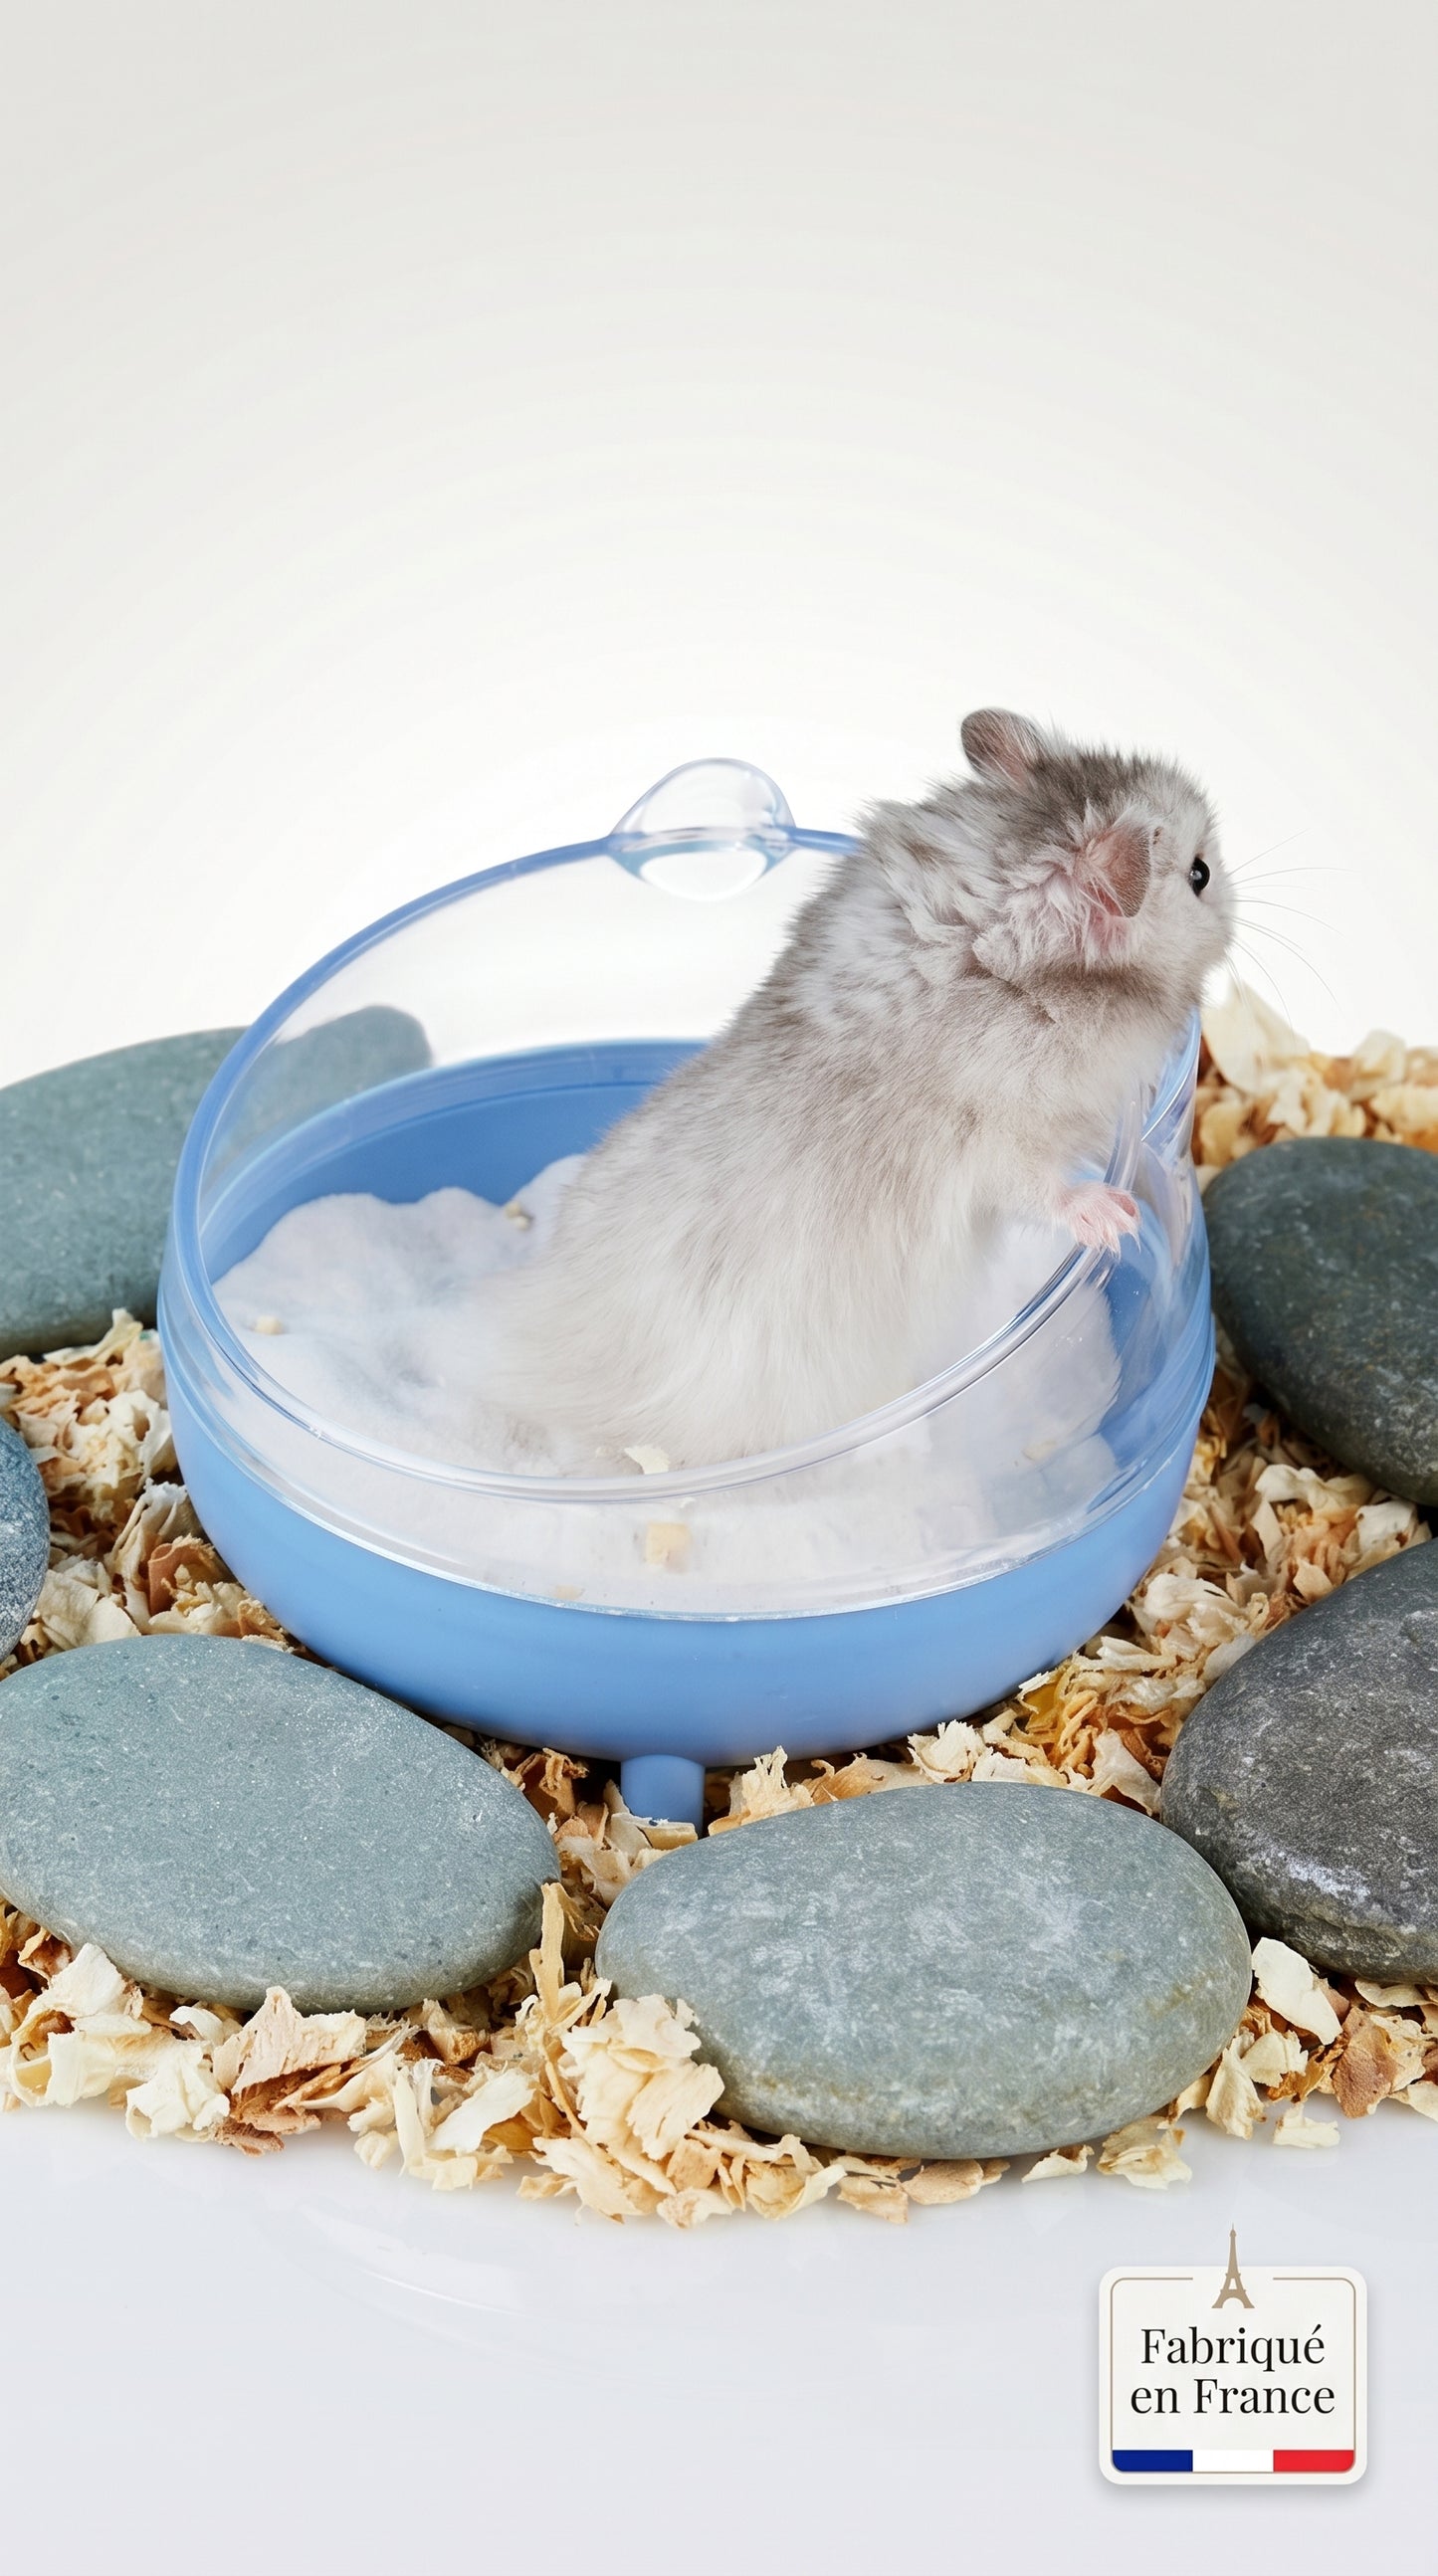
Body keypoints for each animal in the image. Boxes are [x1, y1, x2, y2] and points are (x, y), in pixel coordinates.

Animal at [485, 709, 1233, 1469]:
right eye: (1199, 873)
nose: (1233, 899)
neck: (1001, 931)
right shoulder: (998, 1136)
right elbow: (1042, 1187)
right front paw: (1115, 1215)